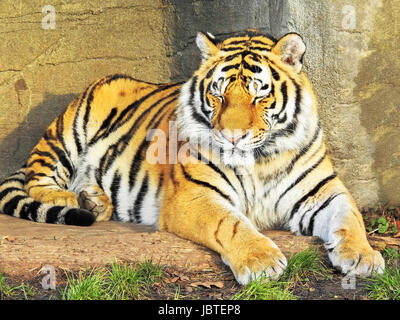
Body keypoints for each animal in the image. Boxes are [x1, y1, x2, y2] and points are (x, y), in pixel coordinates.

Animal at [0, 30, 384, 284]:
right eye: (218, 94)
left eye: (259, 96)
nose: (232, 136)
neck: (259, 160)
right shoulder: (195, 196)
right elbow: (230, 224)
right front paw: (261, 261)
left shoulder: (322, 192)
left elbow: (350, 218)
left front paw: (363, 257)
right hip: (68, 132)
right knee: (37, 177)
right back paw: (71, 199)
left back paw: (94, 200)